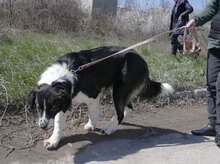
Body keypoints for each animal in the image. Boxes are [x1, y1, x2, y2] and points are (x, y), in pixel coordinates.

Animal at [27, 46, 174, 150]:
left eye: (52, 108)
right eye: (38, 108)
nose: (42, 126)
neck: (64, 76)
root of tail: (142, 59)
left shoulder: (93, 95)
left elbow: (93, 113)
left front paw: (92, 125)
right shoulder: (65, 101)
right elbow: (58, 123)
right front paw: (53, 141)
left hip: (119, 90)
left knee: (121, 112)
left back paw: (110, 128)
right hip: (120, 90)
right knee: (129, 107)